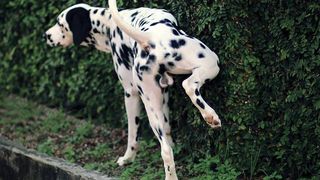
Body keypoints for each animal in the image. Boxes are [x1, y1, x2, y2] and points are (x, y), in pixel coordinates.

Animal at [44, 0, 220, 179]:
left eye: (60, 24)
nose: (46, 35)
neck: (108, 23)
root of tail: (150, 38)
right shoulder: (131, 93)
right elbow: (133, 135)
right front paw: (128, 158)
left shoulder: (161, 96)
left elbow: (166, 132)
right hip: (211, 62)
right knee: (189, 85)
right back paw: (210, 116)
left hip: (154, 106)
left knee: (165, 149)